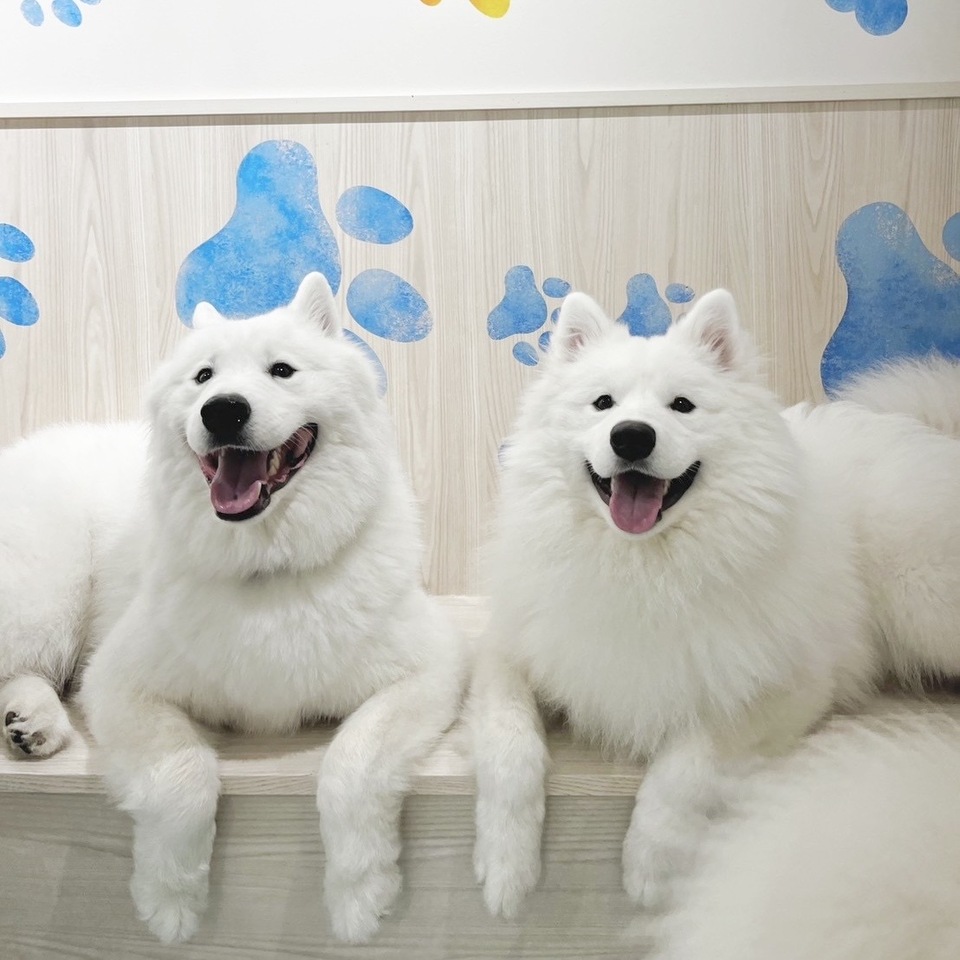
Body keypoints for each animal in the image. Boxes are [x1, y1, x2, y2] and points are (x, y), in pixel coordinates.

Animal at [0, 273, 464, 943]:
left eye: (282, 370)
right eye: (202, 376)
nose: (222, 410)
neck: (264, 564)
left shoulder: (429, 671)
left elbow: (353, 763)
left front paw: (359, 893)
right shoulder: (120, 682)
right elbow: (183, 772)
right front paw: (171, 898)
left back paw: (32, 725)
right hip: (50, 590)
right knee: (27, 662)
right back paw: (36, 718)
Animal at [470, 288, 960, 917]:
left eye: (682, 406)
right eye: (602, 403)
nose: (631, 435)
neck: (643, 567)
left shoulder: (783, 685)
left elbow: (688, 765)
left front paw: (652, 867)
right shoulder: (507, 654)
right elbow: (509, 751)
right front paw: (506, 867)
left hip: (922, 599)